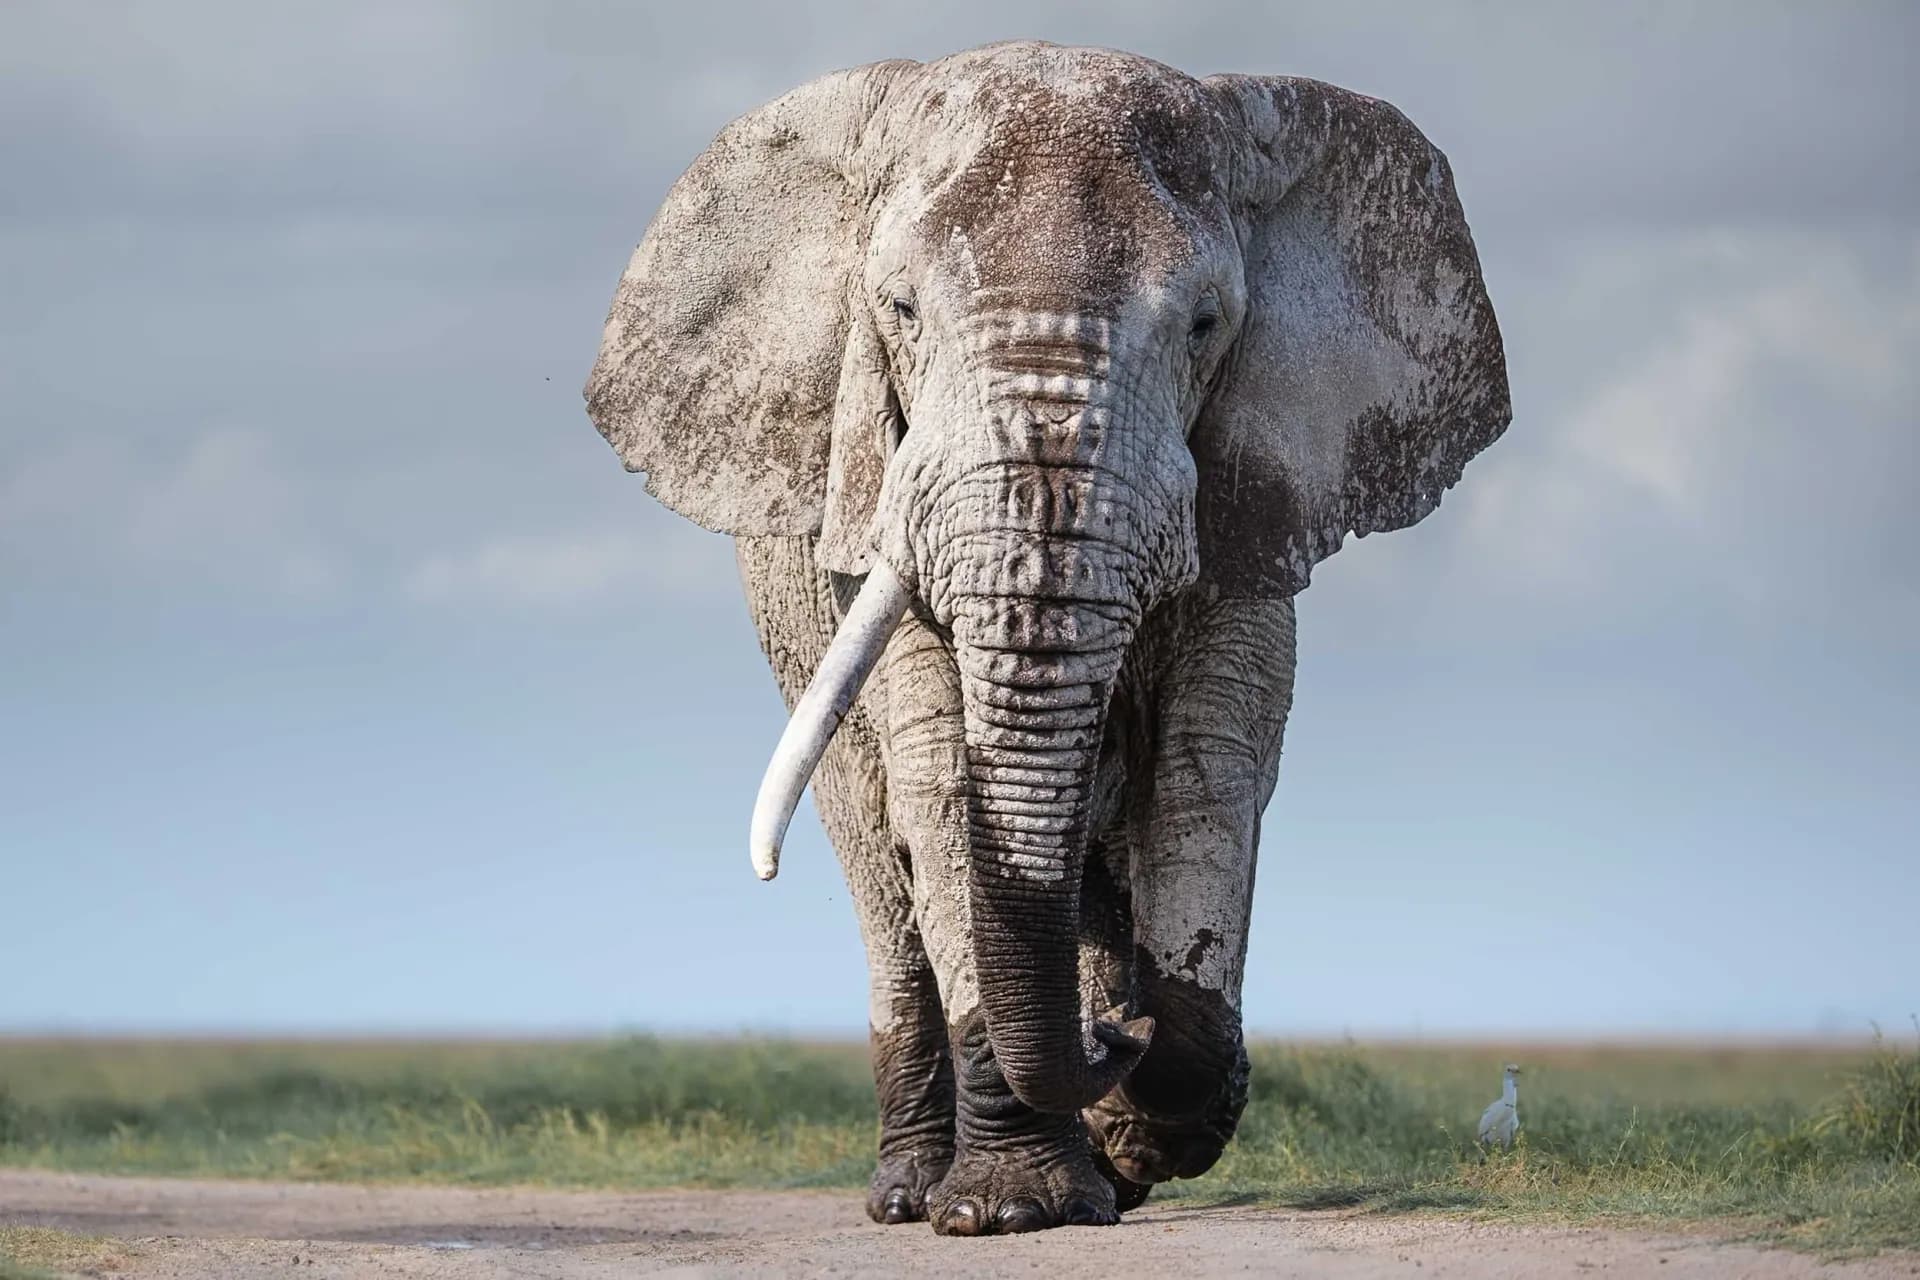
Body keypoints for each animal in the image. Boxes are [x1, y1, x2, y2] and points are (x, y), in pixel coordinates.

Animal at [584, 41, 1510, 1235]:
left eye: (1206, 323)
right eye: (899, 310)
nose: (1113, 1038)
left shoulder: (1256, 487)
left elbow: (1210, 766)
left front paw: (1139, 1105)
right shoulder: (873, 523)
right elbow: (936, 782)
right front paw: (1016, 1203)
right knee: (876, 860)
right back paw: (912, 1189)